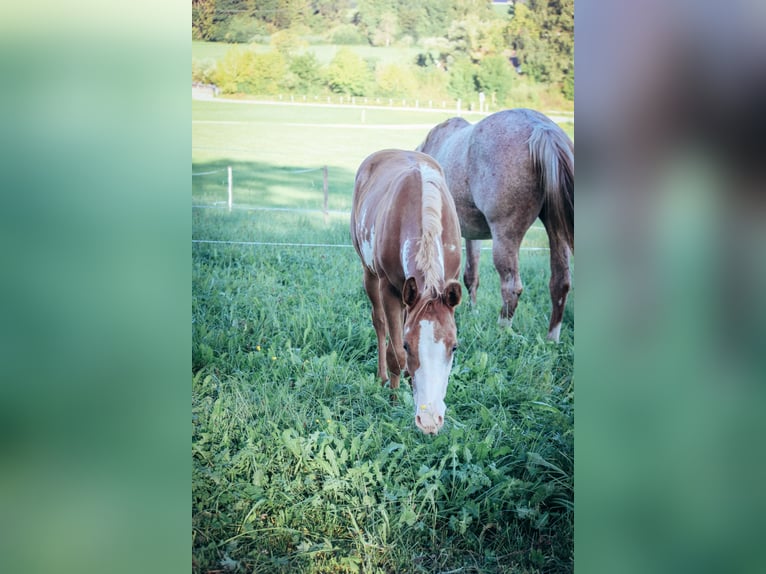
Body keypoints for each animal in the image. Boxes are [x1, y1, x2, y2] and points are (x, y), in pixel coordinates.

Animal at [352, 151, 464, 434]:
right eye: (407, 344)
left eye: (454, 347)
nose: (430, 420)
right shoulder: (389, 289)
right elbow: (396, 354)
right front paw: (393, 401)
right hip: (370, 275)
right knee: (380, 323)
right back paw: (384, 377)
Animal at [416, 108, 572, 342]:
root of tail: (541, 127)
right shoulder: (472, 235)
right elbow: (471, 275)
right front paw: (472, 311)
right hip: (557, 231)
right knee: (560, 282)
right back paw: (551, 340)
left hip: (505, 236)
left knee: (511, 287)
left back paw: (503, 331)